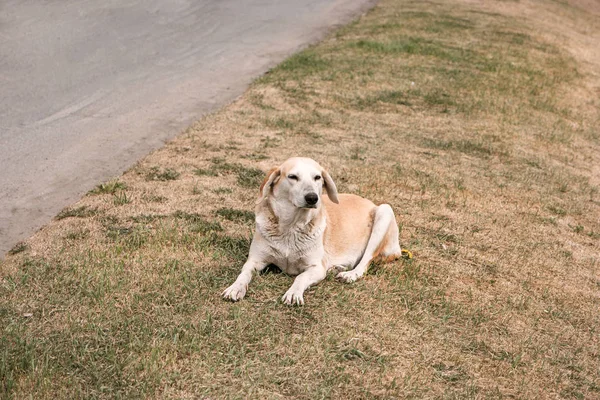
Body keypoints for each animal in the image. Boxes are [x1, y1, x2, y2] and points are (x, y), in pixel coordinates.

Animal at [223, 155, 400, 304]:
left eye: (317, 177)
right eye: (293, 177)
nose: (312, 198)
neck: (291, 227)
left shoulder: (316, 268)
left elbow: (300, 277)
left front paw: (294, 293)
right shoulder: (254, 261)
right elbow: (243, 274)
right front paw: (235, 288)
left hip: (384, 211)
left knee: (365, 262)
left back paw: (350, 274)